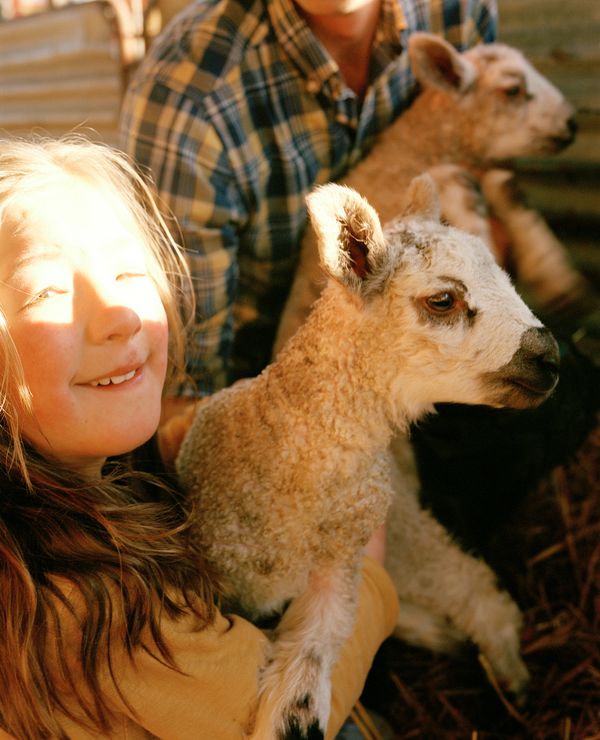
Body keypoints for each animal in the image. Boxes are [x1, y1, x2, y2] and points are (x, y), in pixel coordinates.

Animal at [272, 32, 589, 357]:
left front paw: (556, 276)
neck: (419, 149)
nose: (572, 124)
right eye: (513, 90)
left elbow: (506, 187)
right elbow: (451, 182)